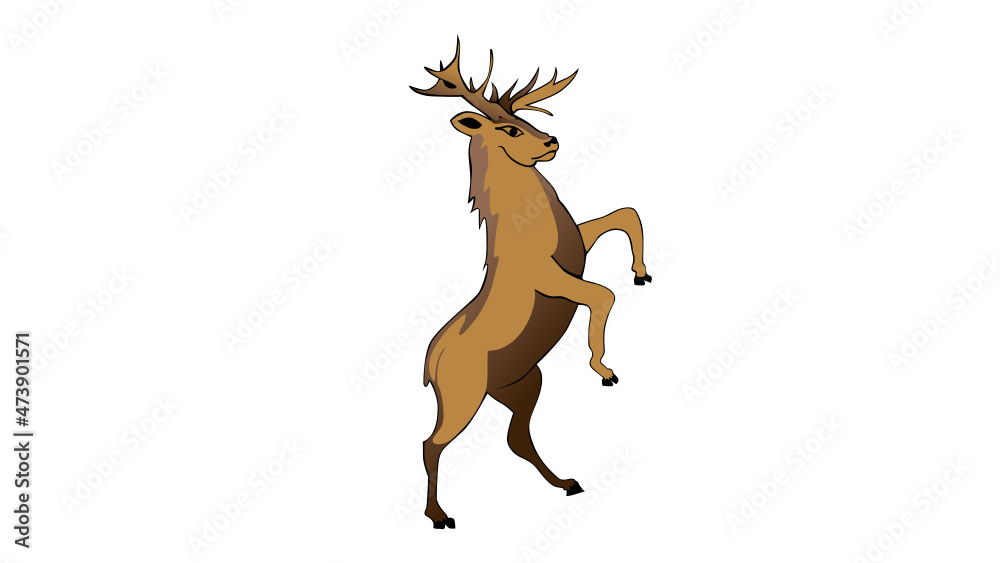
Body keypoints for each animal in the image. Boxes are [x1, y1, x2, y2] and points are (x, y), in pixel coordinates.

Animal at [412, 39, 651, 529]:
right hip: (464, 396)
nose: (552, 141)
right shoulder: (552, 278)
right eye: (510, 129)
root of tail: (429, 367)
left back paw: (568, 483)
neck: (530, 227)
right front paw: (605, 370)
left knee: (515, 439)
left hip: (522, 384)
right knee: (431, 443)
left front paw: (642, 271)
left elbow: (627, 215)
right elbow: (603, 294)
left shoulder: (578, 245)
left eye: (527, 120)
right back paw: (439, 516)